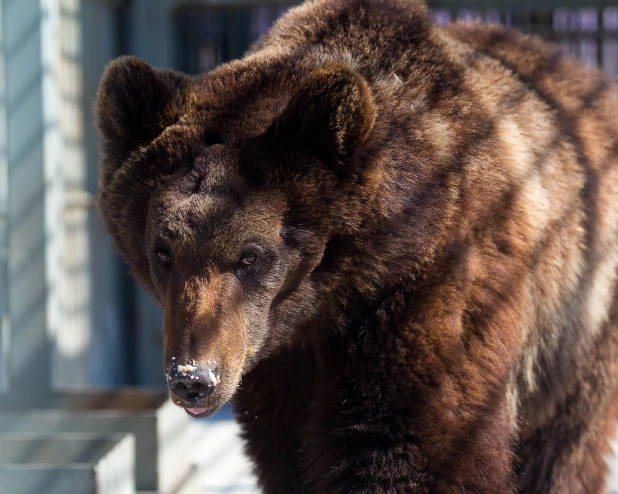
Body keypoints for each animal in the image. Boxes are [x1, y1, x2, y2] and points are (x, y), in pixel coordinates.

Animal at [94, 1, 616, 492]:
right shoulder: (273, 365)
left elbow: (406, 442)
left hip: (577, 325)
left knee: (562, 449)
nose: (193, 379)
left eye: (250, 255)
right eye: (163, 250)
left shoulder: (431, 285)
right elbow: (288, 457)